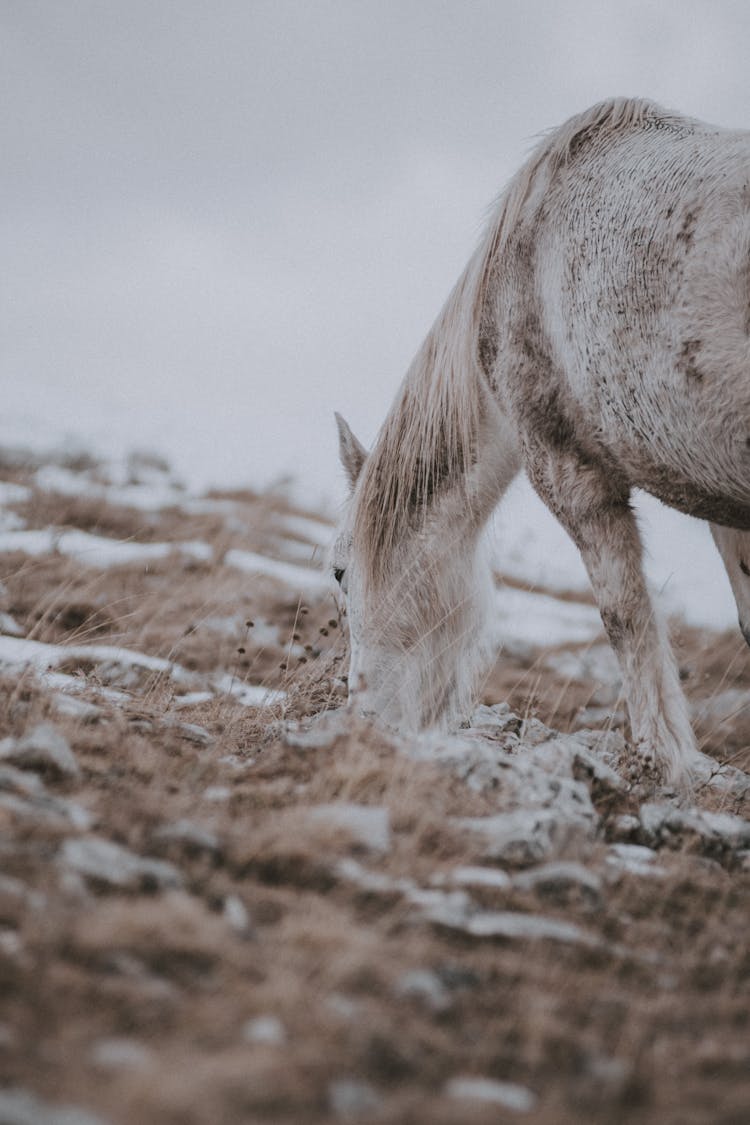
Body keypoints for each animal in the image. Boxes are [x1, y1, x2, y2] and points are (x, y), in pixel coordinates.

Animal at [330, 96, 750, 787]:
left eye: (339, 571)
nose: (360, 716)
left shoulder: (568, 468)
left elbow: (624, 616)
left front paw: (665, 763)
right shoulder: (722, 502)